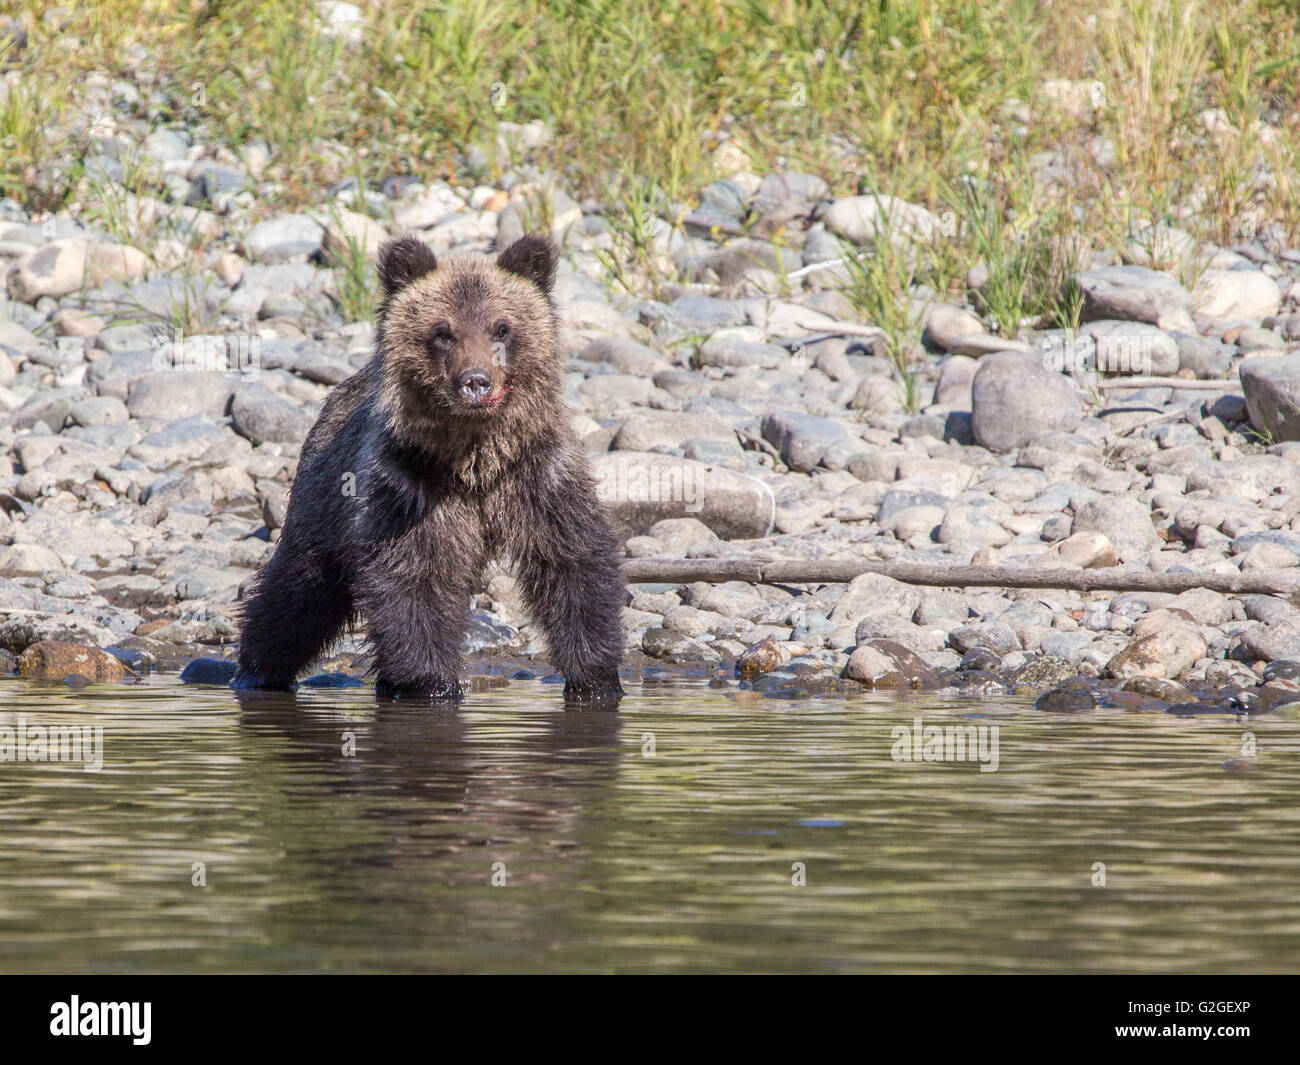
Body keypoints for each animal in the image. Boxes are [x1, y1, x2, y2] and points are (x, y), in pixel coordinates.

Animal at [233, 232, 629, 702]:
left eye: (502, 327)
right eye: (443, 331)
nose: (476, 380)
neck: (476, 461)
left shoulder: (538, 474)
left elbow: (573, 562)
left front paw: (596, 677)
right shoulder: (410, 486)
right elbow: (415, 579)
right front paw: (430, 683)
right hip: (326, 495)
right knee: (299, 587)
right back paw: (256, 668)